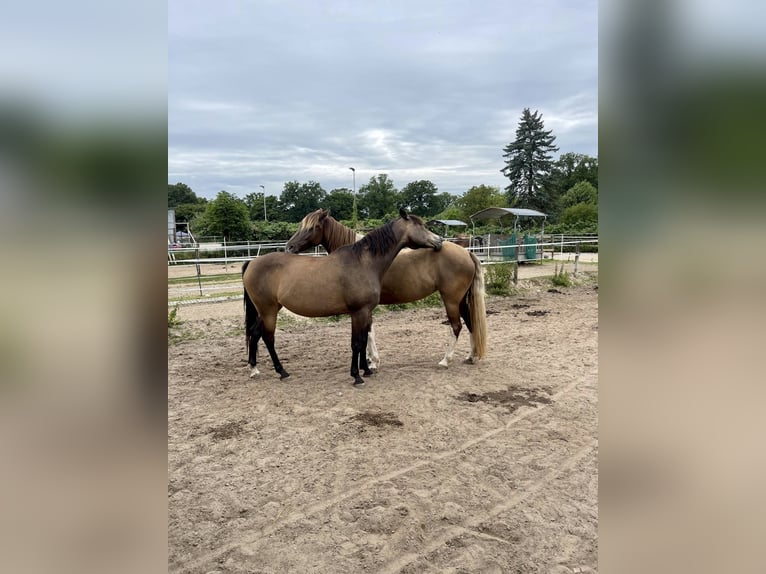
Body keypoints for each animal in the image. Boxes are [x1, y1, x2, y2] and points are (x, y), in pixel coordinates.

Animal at [242, 209, 443, 387]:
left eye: (312, 227)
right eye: (420, 226)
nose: (439, 241)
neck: (363, 262)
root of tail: (252, 262)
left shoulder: (366, 312)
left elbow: (364, 340)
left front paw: (367, 369)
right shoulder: (358, 312)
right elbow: (357, 343)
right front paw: (357, 376)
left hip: (268, 310)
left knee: (255, 332)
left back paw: (254, 369)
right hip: (268, 311)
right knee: (268, 337)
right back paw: (282, 371)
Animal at [285, 209, 487, 368]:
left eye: (312, 227)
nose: (289, 247)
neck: (362, 257)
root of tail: (467, 253)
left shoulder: (364, 307)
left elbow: (369, 332)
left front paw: (373, 361)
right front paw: (369, 359)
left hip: (451, 300)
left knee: (456, 326)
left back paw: (446, 360)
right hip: (460, 300)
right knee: (470, 322)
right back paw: (471, 356)